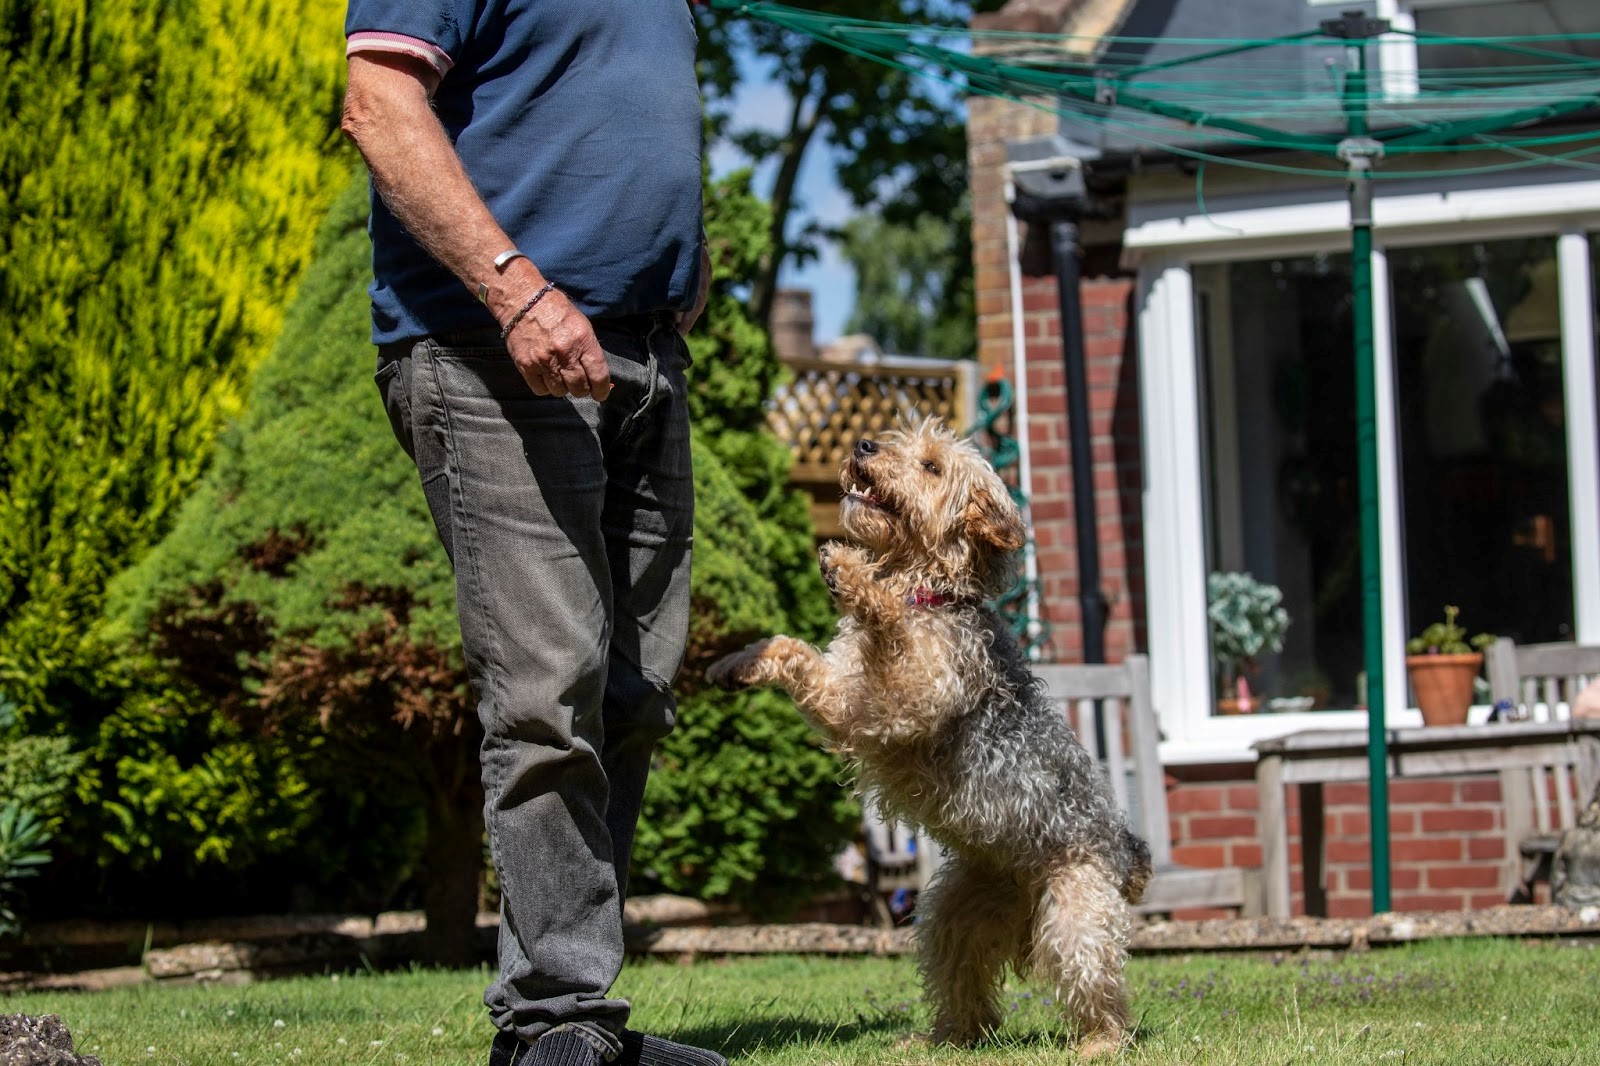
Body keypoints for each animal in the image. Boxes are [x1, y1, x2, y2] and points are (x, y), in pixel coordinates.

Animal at [713, 416, 1152, 1056]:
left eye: (931, 467)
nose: (864, 445)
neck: (927, 592)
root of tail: (1128, 847)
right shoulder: (847, 699)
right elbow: (795, 652)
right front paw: (738, 661)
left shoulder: (904, 698)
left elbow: (885, 622)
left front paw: (849, 573)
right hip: (953, 916)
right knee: (967, 995)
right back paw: (937, 1040)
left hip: (1076, 916)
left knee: (1102, 992)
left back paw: (1097, 1044)